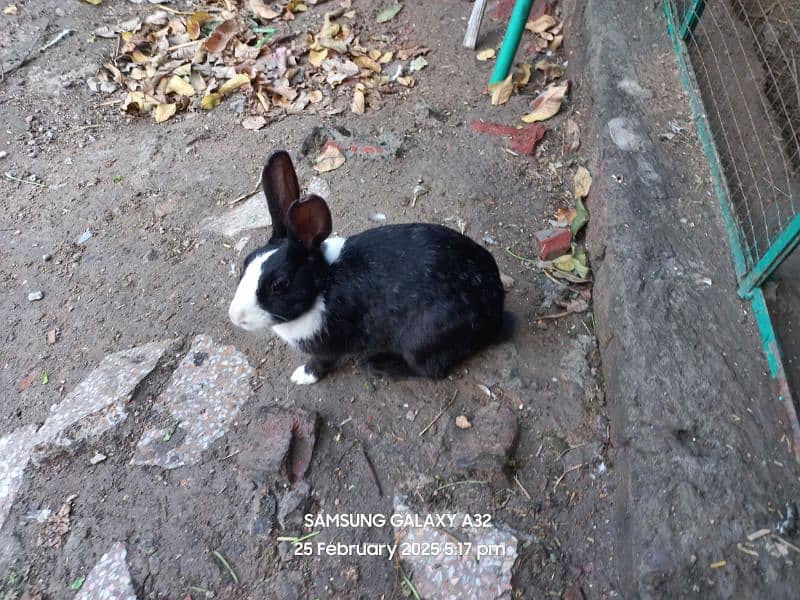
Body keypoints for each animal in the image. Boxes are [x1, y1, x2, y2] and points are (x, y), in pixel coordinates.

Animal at [228, 150, 510, 384]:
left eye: (280, 284)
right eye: (246, 262)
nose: (235, 317)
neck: (323, 285)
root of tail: (495, 309)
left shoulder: (330, 345)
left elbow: (321, 362)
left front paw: (302, 376)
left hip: (422, 340)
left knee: (429, 370)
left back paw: (378, 365)